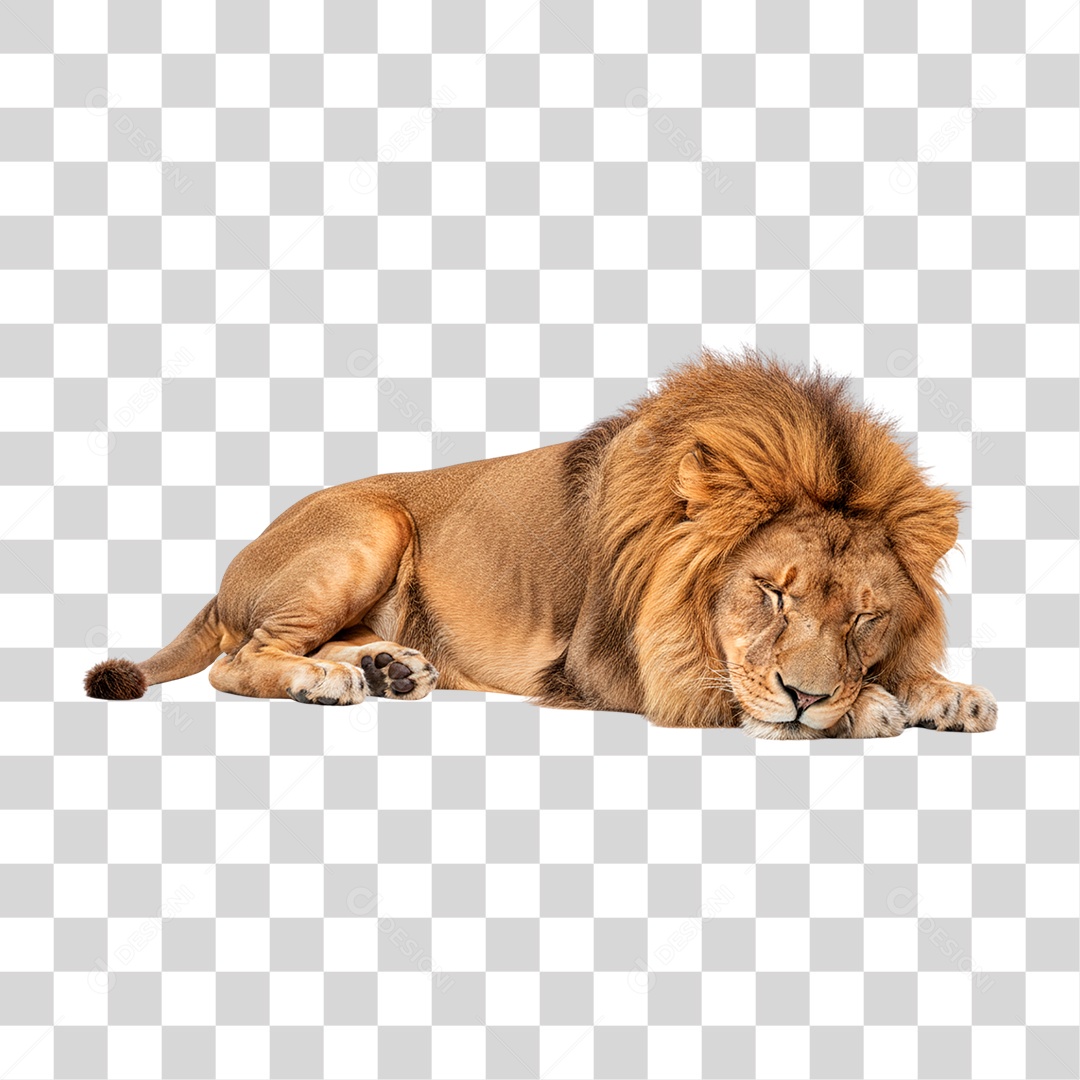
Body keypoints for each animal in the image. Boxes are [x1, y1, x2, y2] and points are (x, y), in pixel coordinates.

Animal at [85, 350, 996, 739]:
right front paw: (868, 706)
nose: (809, 695)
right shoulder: (611, 665)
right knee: (239, 661)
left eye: (865, 618)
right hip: (374, 524)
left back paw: (387, 667)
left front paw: (942, 692)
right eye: (771, 591)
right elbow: (731, 687)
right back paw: (330, 681)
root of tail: (229, 570)